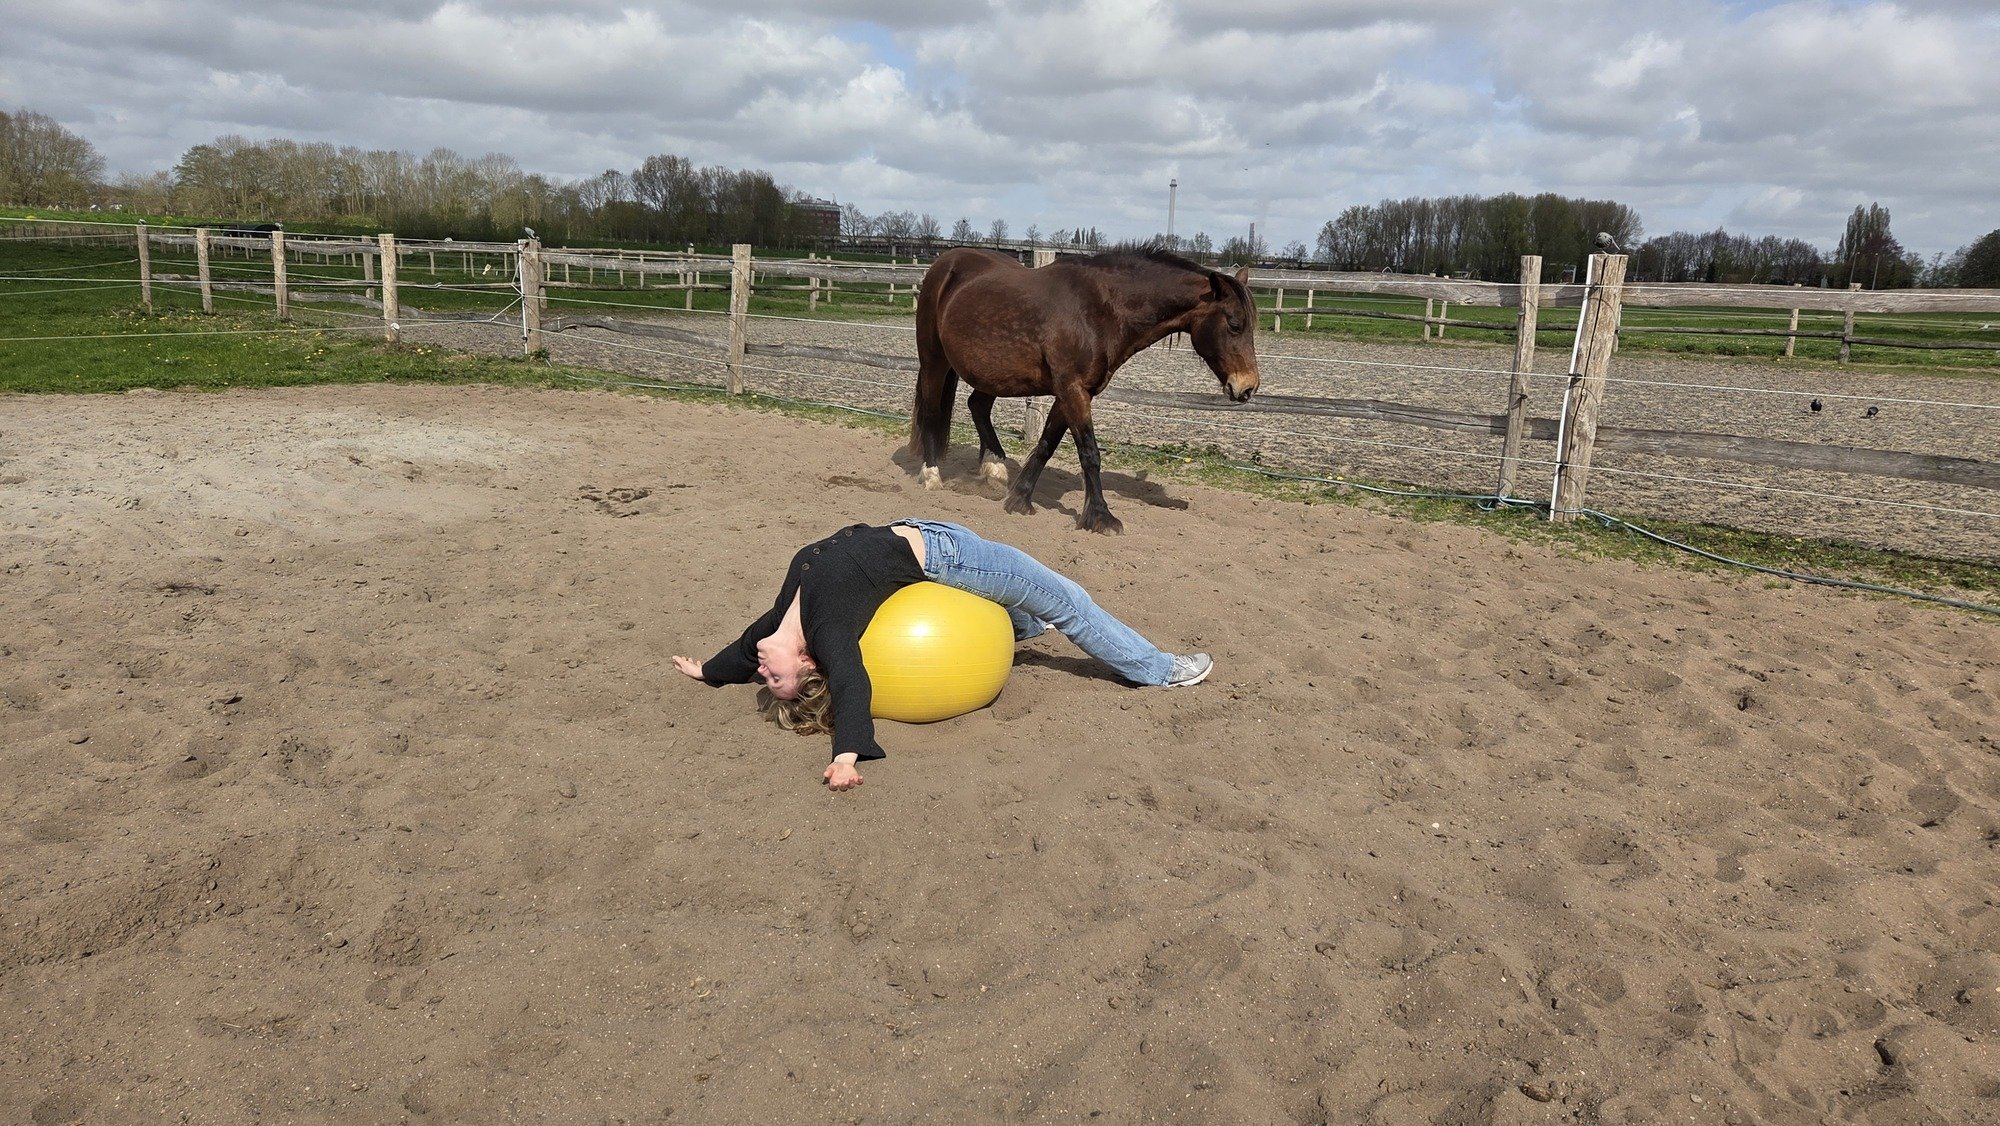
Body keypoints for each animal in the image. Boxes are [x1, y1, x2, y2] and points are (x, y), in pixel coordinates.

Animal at [909, 247, 1260, 534]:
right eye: (1234, 325)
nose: (1247, 387)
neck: (1100, 308)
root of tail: (944, 263)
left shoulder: (1075, 392)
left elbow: (1047, 444)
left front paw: (1020, 499)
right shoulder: (1072, 389)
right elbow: (1089, 453)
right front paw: (1101, 517)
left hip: (993, 373)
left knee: (977, 406)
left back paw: (994, 468)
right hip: (934, 361)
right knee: (932, 411)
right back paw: (932, 475)